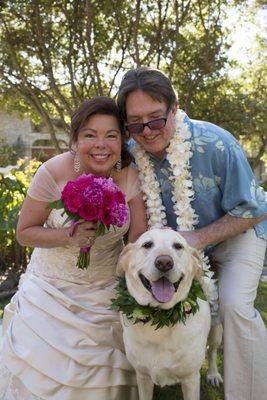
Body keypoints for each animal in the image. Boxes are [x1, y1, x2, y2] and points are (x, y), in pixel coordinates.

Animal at [118, 228, 223, 400]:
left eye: (178, 246)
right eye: (147, 244)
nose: (164, 263)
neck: (160, 319)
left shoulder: (191, 379)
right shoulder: (142, 376)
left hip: (216, 330)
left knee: (212, 351)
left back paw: (213, 374)